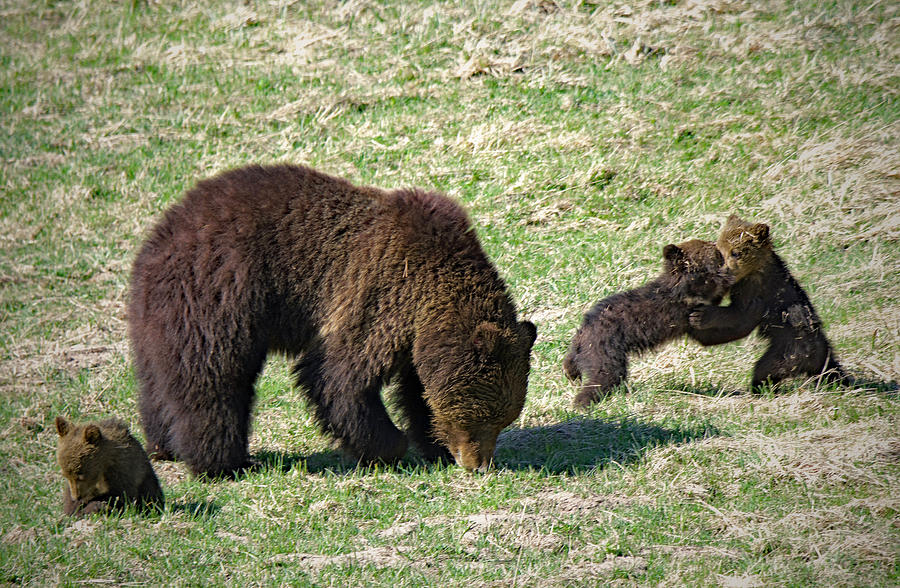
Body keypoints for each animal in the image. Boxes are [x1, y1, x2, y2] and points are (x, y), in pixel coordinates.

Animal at [126, 164, 536, 478]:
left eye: (503, 419)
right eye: (481, 418)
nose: (478, 465)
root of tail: (160, 237)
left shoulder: (415, 337)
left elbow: (417, 390)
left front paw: (431, 442)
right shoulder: (377, 294)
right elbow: (336, 377)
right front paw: (388, 446)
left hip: (157, 317)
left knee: (157, 378)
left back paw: (164, 444)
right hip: (220, 295)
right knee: (213, 377)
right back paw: (224, 462)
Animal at [568, 239, 736, 408]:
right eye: (706, 245)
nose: (715, 242)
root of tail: (581, 334)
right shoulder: (685, 306)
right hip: (604, 351)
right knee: (604, 377)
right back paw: (582, 403)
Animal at [688, 214, 852, 388]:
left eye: (735, 253)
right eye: (720, 250)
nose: (722, 270)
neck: (754, 270)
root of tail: (821, 353)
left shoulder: (754, 289)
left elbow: (738, 313)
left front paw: (700, 316)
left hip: (789, 351)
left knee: (765, 369)